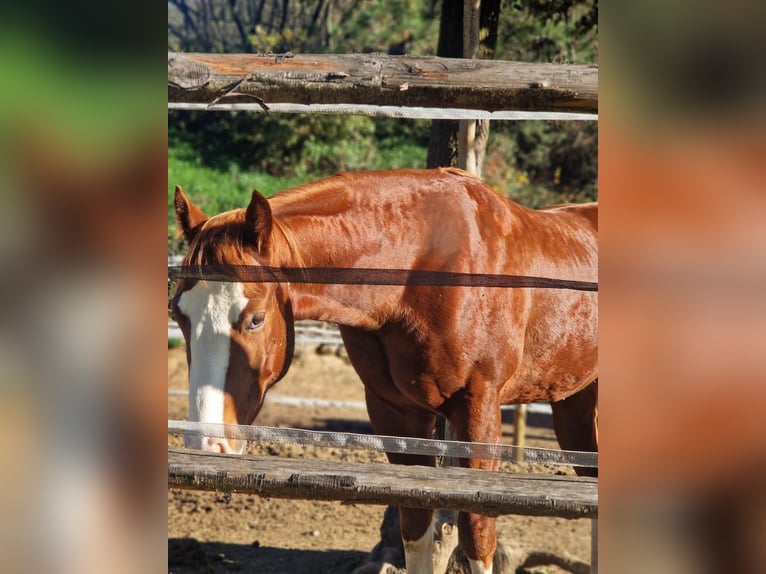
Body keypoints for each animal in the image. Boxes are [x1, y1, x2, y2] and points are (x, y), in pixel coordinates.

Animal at [171, 169, 596, 574]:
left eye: (256, 319)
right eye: (179, 314)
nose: (206, 445)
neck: (421, 270)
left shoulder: (480, 412)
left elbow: (477, 536)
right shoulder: (397, 414)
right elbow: (416, 527)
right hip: (575, 408)